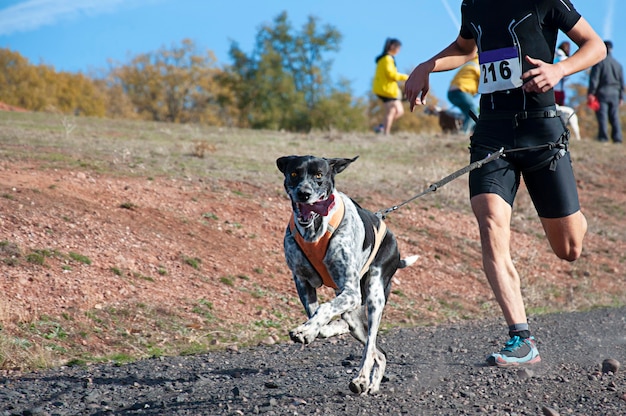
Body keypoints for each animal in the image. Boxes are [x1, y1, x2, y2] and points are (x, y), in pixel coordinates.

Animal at [276, 154, 416, 394]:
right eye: (294, 173)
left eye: (319, 175)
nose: (304, 193)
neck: (314, 232)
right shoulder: (302, 281)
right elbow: (315, 315)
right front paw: (312, 329)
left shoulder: (350, 292)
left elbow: (323, 309)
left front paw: (306, 331)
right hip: (354, 310)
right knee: (378, 351)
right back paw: (371, 380)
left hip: (373, 296)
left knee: (370, 346)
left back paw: (362, 379)